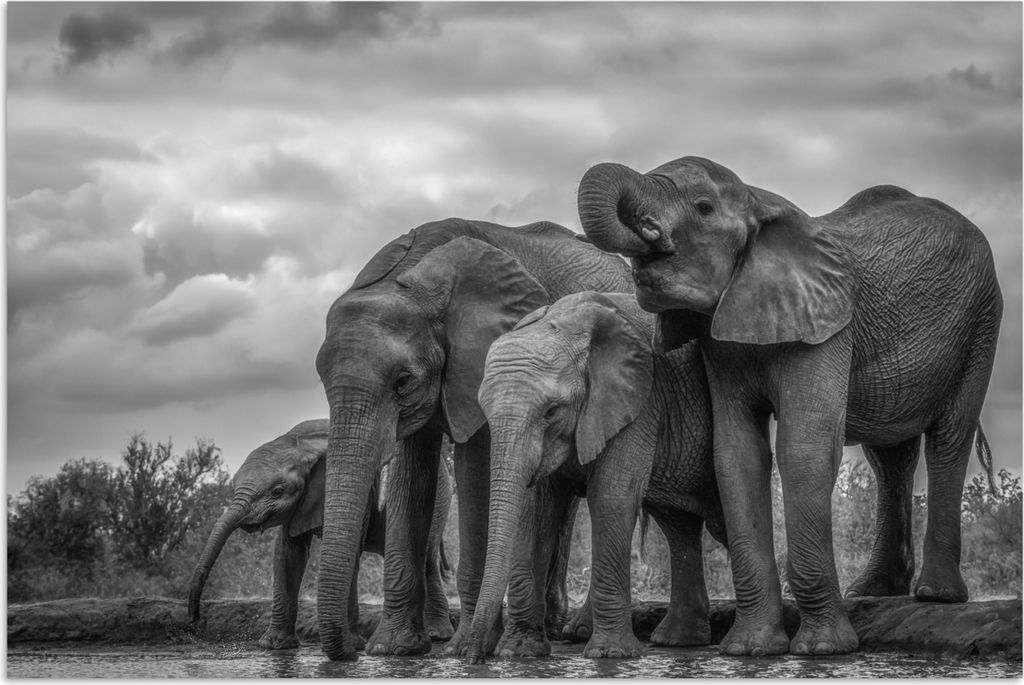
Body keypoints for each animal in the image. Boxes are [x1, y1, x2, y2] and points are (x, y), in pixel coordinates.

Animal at [187, 419, 454, 649]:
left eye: (277, 491)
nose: (193, 621)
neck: (299, 443)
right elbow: (288, 554)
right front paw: (273, 645)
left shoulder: (363, 493)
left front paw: (353, 644)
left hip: (438, 496)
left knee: (427, 559)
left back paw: (436, 635)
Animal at [313, 218, 633, 660]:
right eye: (321, 379)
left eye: (402, 382)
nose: (350, 646)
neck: (412, 277)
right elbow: (410, 480)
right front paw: (392, 649)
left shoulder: (483, 360)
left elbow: (476, 475)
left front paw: (463, 647)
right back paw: (554, 630)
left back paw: (575, 633)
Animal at [466, 291, 726, 661]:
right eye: (485, 411)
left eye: (550, 412)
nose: (474, 660)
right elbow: (535, 510)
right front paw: (520, 653)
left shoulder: (640, 399)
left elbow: (611, 495)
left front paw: (610, 654)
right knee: (679, 525)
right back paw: (678, 640)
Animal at [577, 156, 1002, 656]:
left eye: (703, 208)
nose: (650, 232)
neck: (759, 200)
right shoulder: (720, 344)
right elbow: (736, 456)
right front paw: (751, 650)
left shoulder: (829, 324)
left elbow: (803, 449)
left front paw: (823, 650)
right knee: (890, 455)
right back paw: (872, 590)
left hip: (983, 321)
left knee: (949, 438)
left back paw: (936, 594)